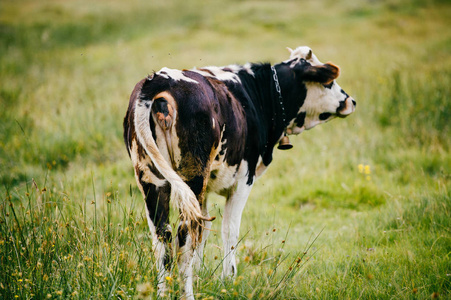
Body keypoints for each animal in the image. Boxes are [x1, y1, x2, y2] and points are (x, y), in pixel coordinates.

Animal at [123, 45, 356, 298]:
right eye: (328, 83)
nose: (351, 101)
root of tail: (157, 80)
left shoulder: (205, 191)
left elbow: (205, 232)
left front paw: (201, 275)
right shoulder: (243, 180)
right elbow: (230, 231)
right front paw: (227, 279)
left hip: (153, 181)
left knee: (162, 238)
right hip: (192, 176)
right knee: (184, 235)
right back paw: (188, 293)